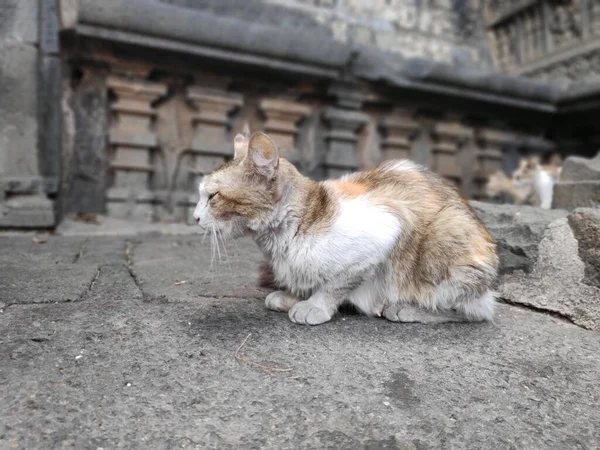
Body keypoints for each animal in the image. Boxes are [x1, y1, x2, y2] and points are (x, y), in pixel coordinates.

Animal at [195, 132, 500, 326]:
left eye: (212, 197)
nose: (195, 217)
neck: (279, 243)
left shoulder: (381, 236)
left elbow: (335, 284)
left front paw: (314, 306)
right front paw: (292, 297)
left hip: (447, 235)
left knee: (475, 311)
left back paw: (405, 309)